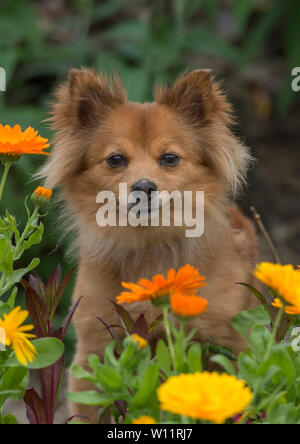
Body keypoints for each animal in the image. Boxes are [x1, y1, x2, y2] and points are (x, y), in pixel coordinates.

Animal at [39, 68, 258, 424]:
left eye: (169, 158)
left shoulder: (228, 343)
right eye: (115, 159)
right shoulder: (94, 349)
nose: (144, 186)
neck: (150, 243)